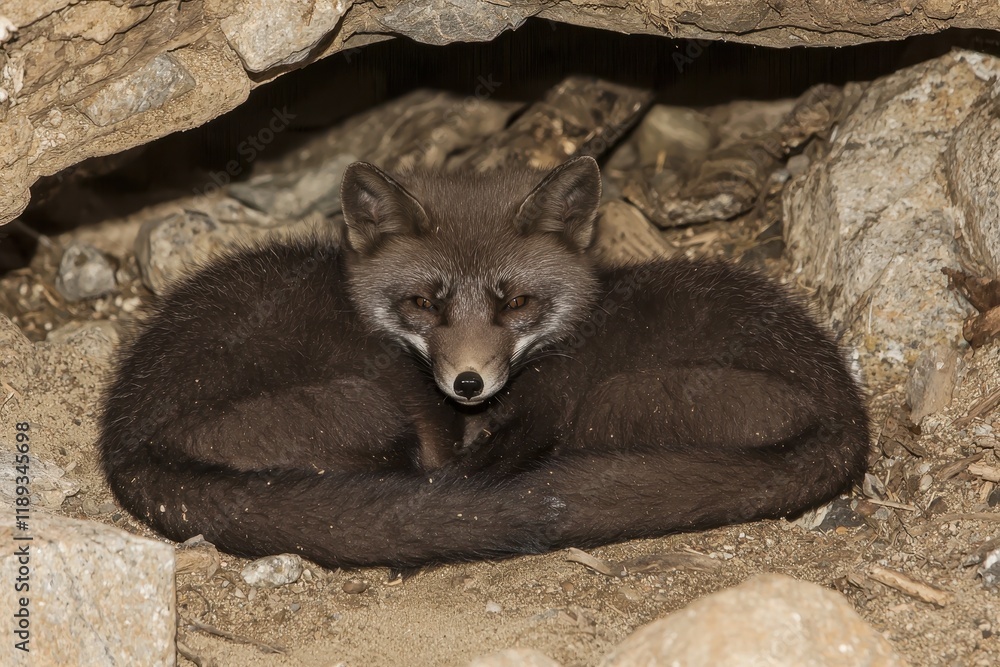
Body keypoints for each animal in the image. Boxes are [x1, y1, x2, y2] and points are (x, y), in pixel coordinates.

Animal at [99, 155, 870, 570]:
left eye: (518, 301)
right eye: (421, 302)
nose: (468, 381)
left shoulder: (542, 409)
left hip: (606, 401)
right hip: (380, 404)